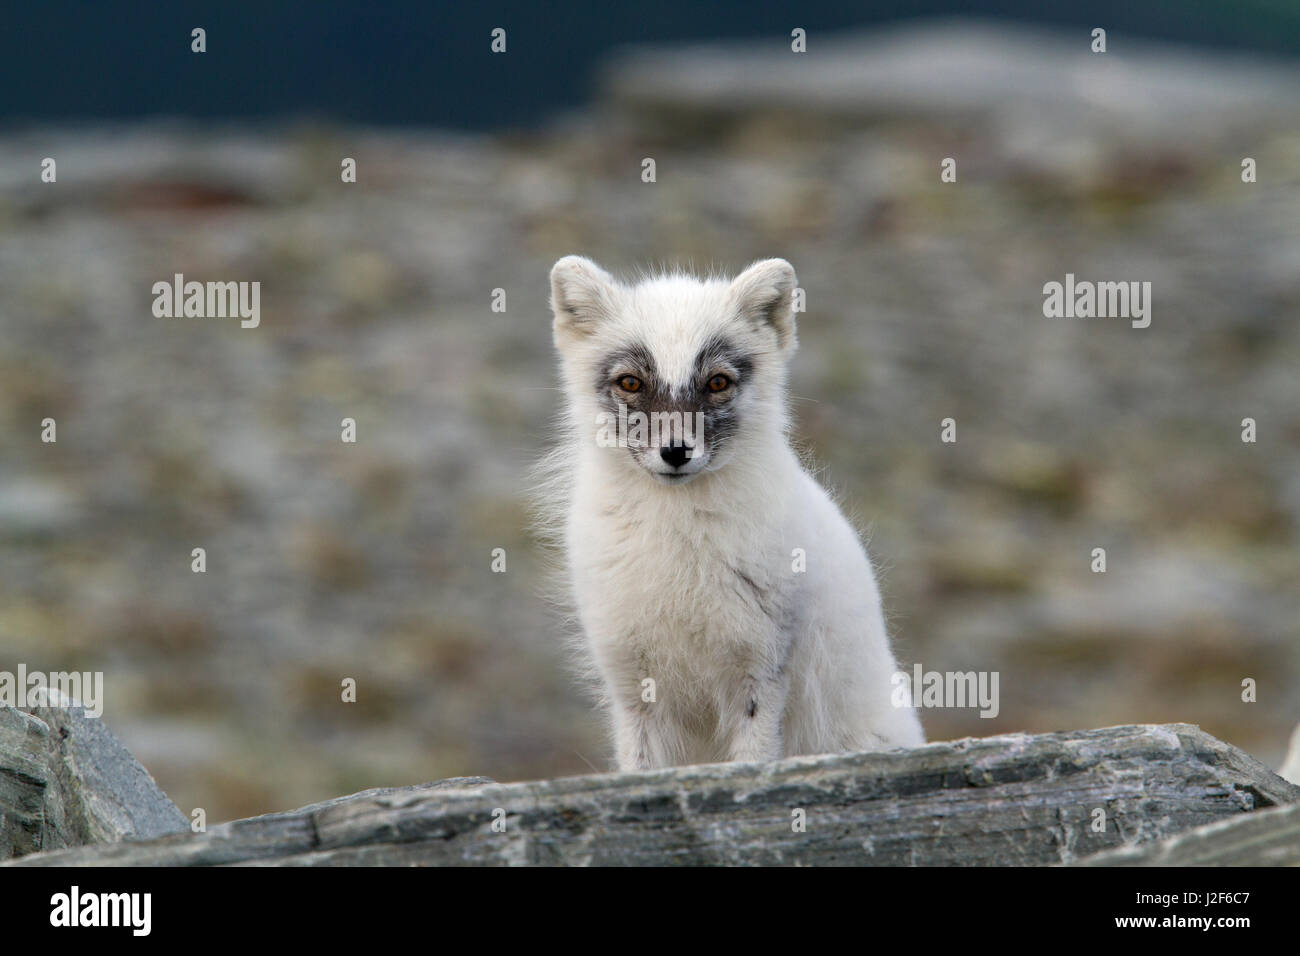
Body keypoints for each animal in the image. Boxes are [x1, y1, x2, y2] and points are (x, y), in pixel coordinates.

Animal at [543, 254, 930, 770]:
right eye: (630, 382)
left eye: (717, 382)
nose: (676, 451)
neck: (677, 551)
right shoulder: (631, 680)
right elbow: (641, 763)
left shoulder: (761, 667)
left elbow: (754, 755)